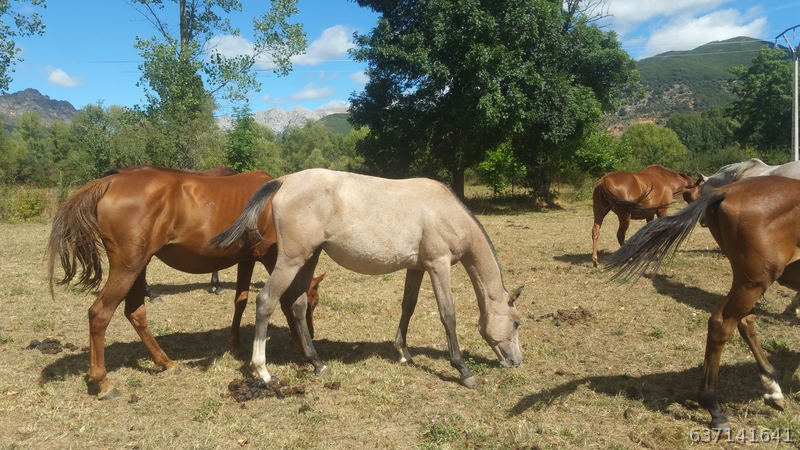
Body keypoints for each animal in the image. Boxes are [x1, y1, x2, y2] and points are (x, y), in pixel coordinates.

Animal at [47, 166, 325, 400]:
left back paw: (165, 362)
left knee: (135, 312)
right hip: (128, 267)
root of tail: (110, 181)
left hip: (138, 267)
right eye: (314, 302)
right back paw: (103, 382)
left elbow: (241, 300)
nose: (311, 333)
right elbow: (285, 301)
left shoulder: (246, 258)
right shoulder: (272, 257)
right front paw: (300, 345)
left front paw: (235, 343)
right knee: (100, 313)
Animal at [211, 168, 523, 389]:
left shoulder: (417, 268)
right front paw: (463, 370)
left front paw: (403, 352)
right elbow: (448, 315)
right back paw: (263, 371)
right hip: (291, 260)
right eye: (517, 322)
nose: (516, 361)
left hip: (309, 257)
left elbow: (408, 307)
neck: (445, 210)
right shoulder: (439, 265)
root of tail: (284, 181)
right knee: (266, 301)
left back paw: (317, 363)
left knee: (297, 305)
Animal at [604, 176, 800, 430]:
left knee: (744, 320)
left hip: (747, 279)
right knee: (722, 324)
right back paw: (715, 409)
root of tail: (728, 190)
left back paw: (771, 387)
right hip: (755, 280)